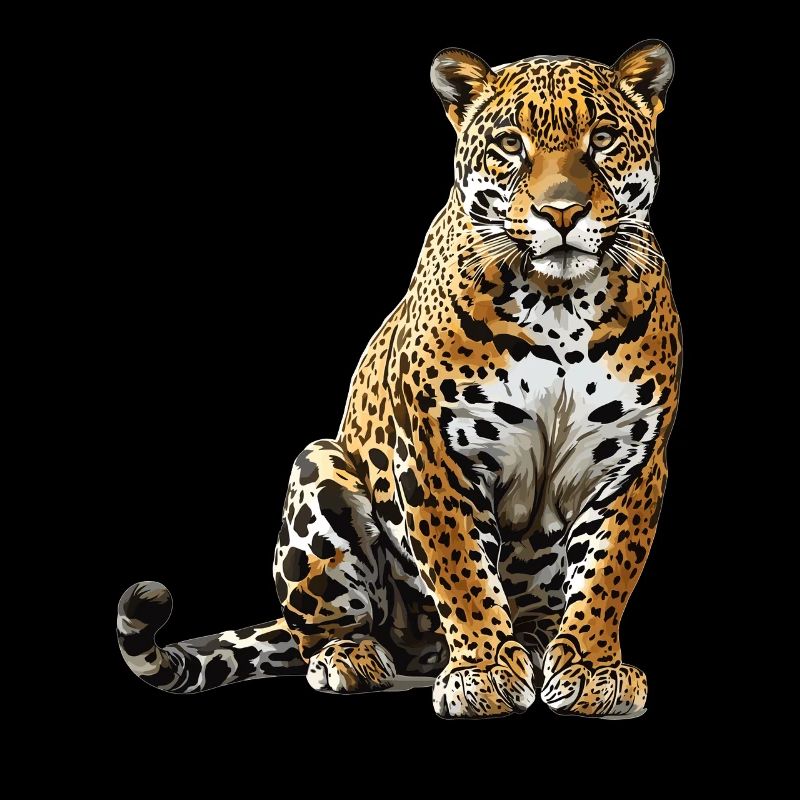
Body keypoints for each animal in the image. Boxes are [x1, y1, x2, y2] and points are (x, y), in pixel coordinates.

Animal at [118, 40, 681, 720]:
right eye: (511, 144)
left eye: (602, 139)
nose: (562, 213)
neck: (558, 303)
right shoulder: (438, 453)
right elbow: (463, 570)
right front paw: (486, 674)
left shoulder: (632, 459)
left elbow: (607, 572)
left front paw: (594, 671)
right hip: (317, 471)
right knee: (325, 627)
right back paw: (353, 657)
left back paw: (537, 643)